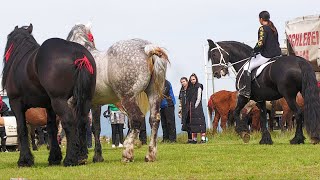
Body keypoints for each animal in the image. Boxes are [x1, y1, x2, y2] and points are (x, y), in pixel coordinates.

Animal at [2, 24, 96, 167]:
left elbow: (22, 129)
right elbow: (52, 129)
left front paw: (25, 160)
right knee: (82, 122)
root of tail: (77, 53)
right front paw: (54, 157)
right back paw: (81, 157)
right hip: (85, 100)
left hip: (59, 100)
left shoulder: (15, 103)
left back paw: (70, 159)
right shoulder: (49, 106)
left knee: (69, 122)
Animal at [66, 23, 169, 162]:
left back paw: (127, 152)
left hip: (127, 97)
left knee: (137, 119)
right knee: (154, 119)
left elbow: (77, 125)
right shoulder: (95, 105)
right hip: (154, 94)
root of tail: (147, 48)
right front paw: (97, 156)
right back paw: (150, 154)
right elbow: (95, 128)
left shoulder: (74, 103)